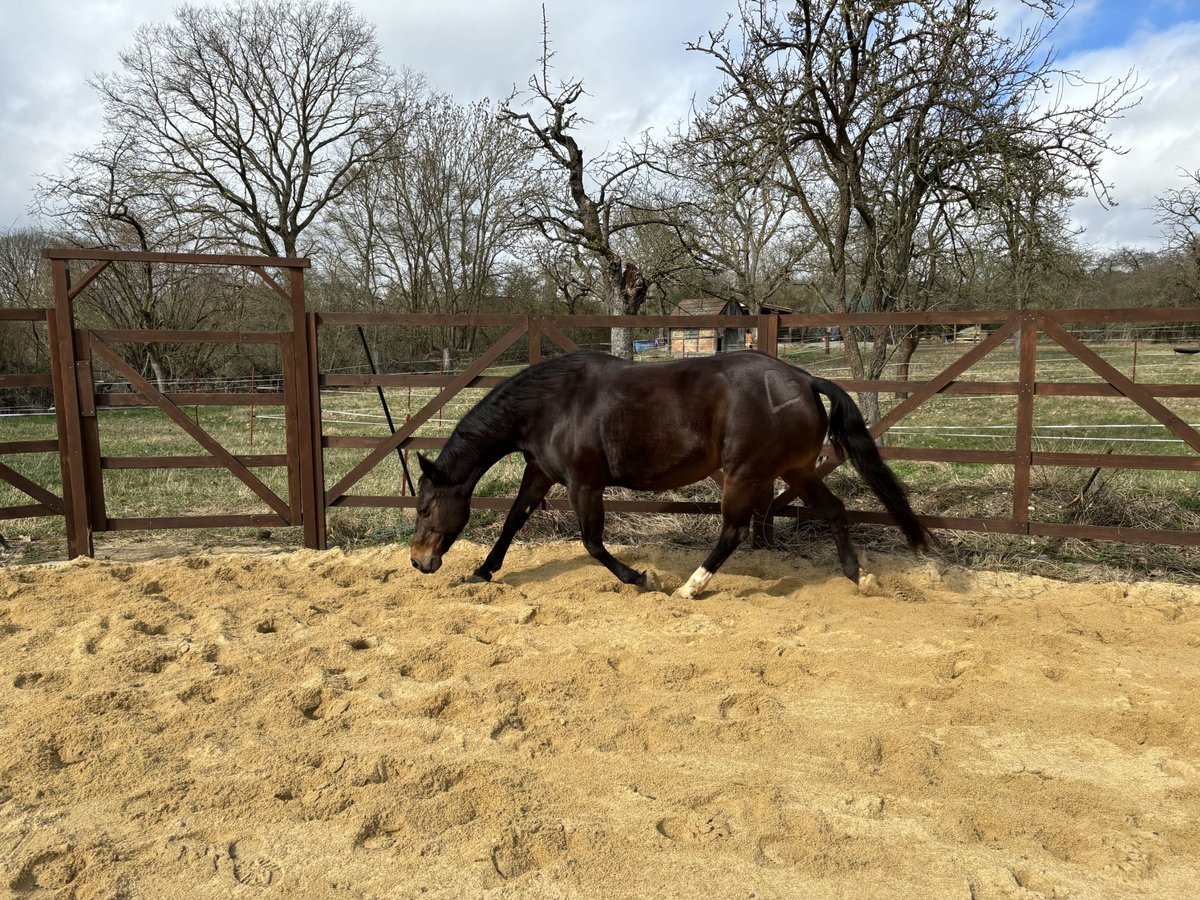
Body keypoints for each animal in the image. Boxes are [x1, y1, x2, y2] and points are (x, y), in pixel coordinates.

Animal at [410, 350, 926, 600]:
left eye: (425, 507)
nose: (419, 561)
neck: (553, 404)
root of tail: (803, 379)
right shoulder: (541, 474)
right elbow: (513, 521)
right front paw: (481, 573)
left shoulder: (584, 484)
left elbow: (592, 542)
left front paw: (639, 577)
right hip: (796, 471)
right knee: (836, 512)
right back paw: (859, 577)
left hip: (744, 474)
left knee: (733, 531)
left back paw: (687, 588)